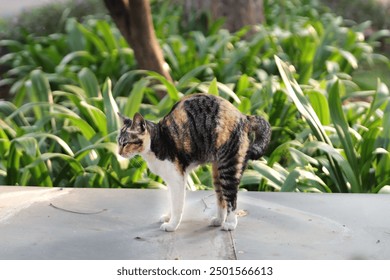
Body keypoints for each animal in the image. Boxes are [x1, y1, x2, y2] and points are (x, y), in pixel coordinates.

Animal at [117, 93, 272, 231]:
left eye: (125, 143)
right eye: (118, 142)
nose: (118, 153)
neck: (157, 140)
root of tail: (244, 117)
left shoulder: (177, 178)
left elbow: (177, 204)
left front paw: (172, 225)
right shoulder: (171, 180)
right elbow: (172, 201)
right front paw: (168, 217)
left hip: (228, 168)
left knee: (231, 199)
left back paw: (230, 224)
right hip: (217, 173)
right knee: (221, 199)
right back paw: (218, 220)